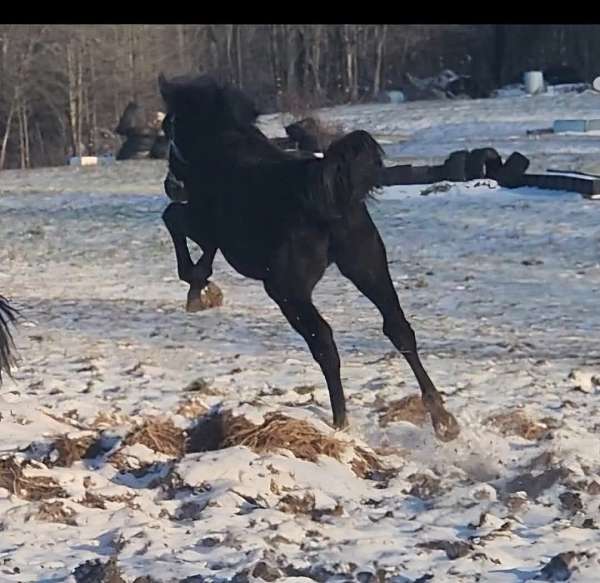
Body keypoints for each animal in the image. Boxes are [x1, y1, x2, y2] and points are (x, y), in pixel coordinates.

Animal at [159, 73, 460, 440]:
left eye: (168, 128)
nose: (170, 184)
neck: (223, 147)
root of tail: (325, 193)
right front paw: (201, 286)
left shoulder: (202, 223)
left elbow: (173, 220)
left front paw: (196, 287)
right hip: (369, 268)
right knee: (398, 329)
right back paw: (442, 418)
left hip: (287, 290)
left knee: (324, 343)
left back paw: (340, 422)